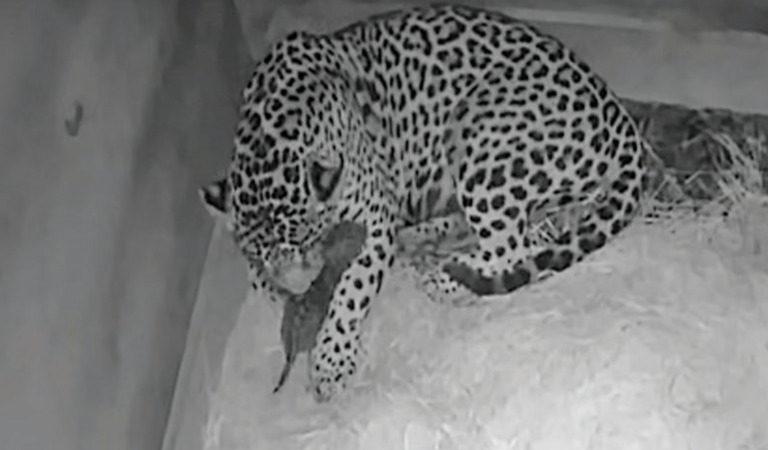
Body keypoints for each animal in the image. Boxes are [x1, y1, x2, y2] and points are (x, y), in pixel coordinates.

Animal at [198, 3, 649, 403]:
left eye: (309, 244)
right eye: (264, 262)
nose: (304, 286)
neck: (267, 138)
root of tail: (621, 118)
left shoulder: (373, 217)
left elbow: (353, 287)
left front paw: (330, 362)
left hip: (481, 138)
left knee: (514, 249)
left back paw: (443, 277)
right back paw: (419, 242)